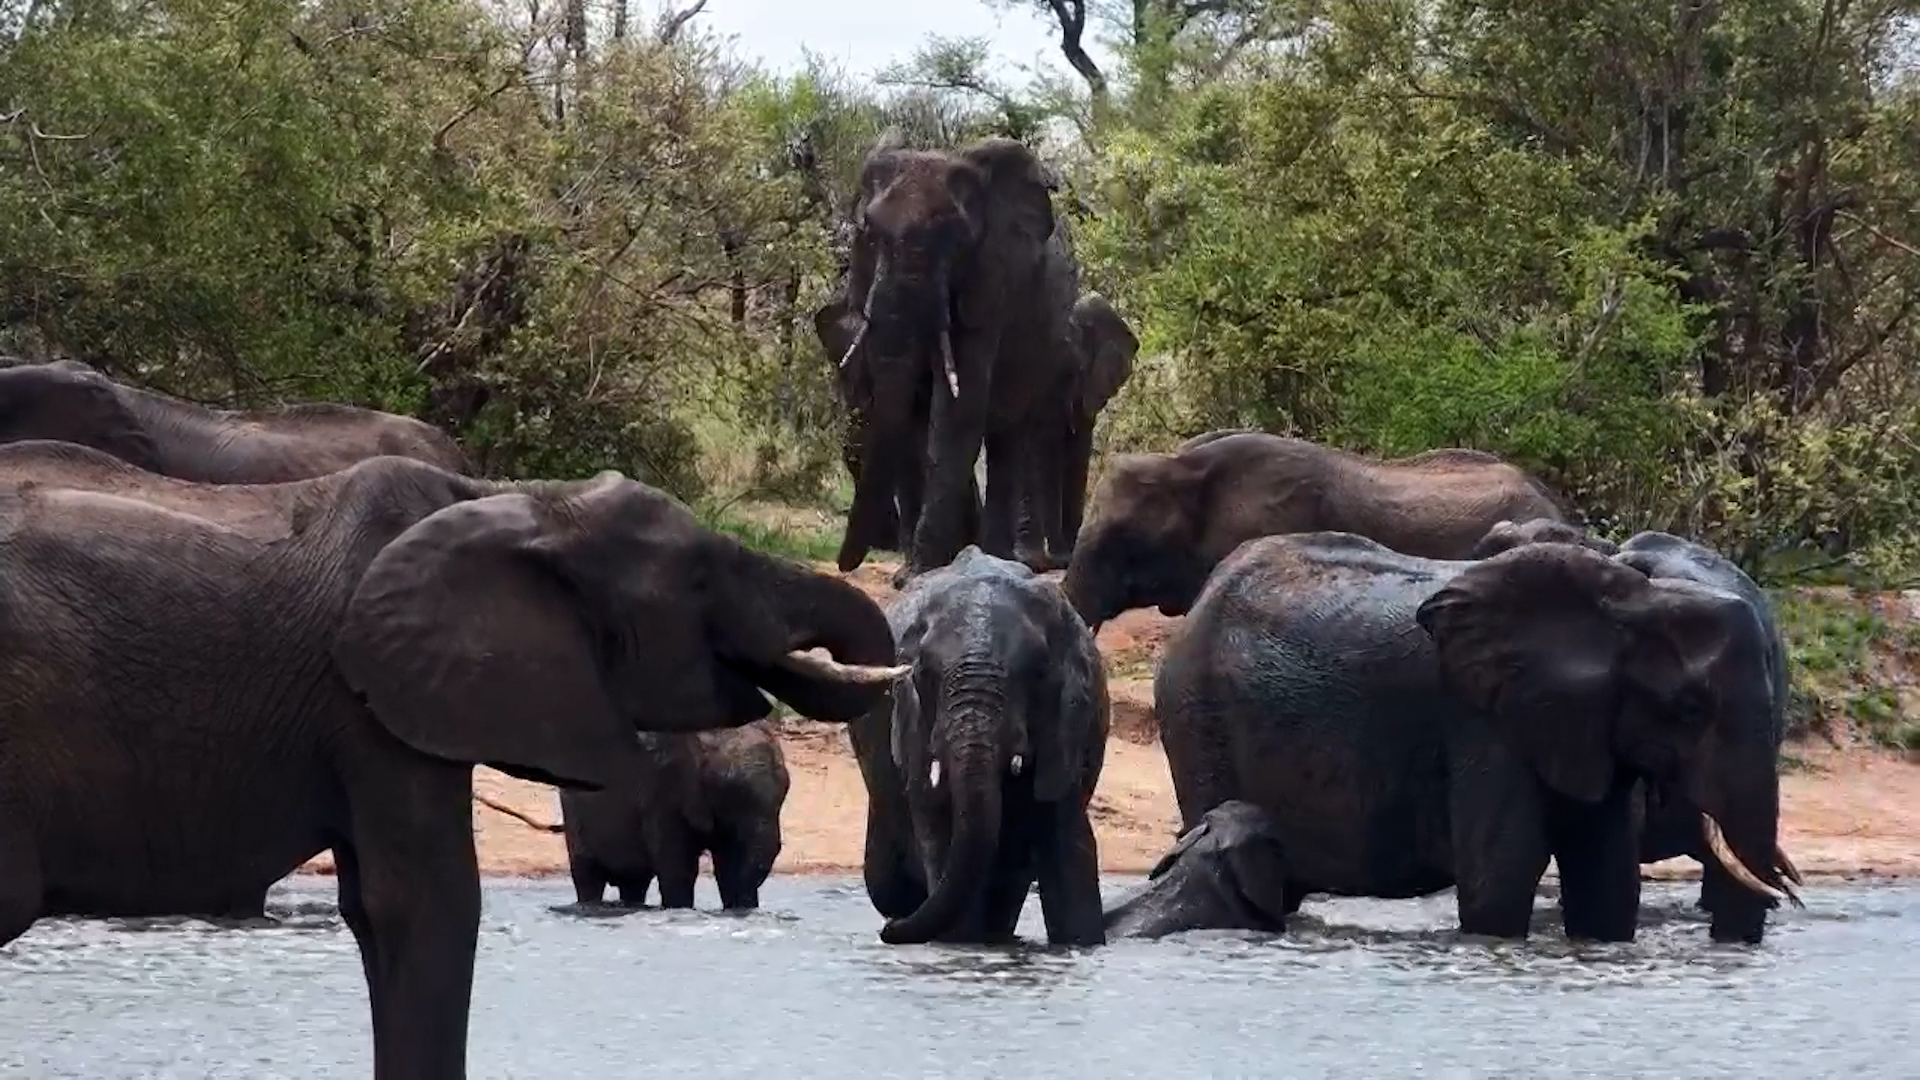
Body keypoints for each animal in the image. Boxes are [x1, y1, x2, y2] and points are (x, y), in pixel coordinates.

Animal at [560, 718, 790, 911]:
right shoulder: (663, 791)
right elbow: (680, 869)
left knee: (635, 884)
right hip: (573, 808)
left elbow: (726, 866)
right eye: (733, 791)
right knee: (587, 876)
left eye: (785, 792)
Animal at [832, 135, 1082, 584]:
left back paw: (1000, 560)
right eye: (870, 235)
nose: (846, 566)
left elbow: (956, 412)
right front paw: (911, 575)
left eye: (955, 242)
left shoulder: (989, 283)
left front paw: (921, 575)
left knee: (1008, 434)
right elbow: (914, 413)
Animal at [850, 545, 1109, 946]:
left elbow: (1066, 846)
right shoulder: (912, 723)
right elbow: (939, 833)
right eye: (923, 673)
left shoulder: (1071, 725)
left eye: (1038, 673)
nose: (889, 930)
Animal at [1153, 531, 1800, 944]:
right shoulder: (1482, 720)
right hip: (1196, 714)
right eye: (1689, 709)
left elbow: (1607, 882)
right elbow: (1501, 878)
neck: (1635, 602)